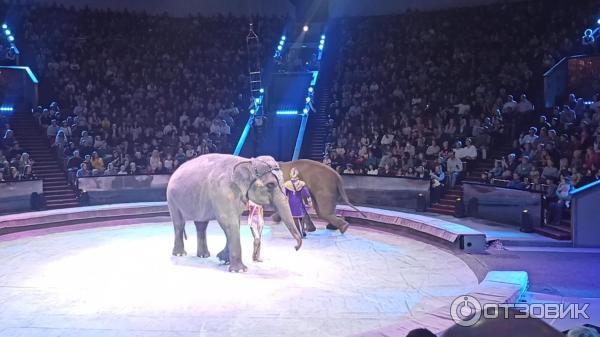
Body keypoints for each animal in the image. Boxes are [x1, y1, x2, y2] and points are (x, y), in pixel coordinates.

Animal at [166, 154, 302, 272]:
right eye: (270, 185)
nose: (295, 248)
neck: (247, 162)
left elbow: (235, 222)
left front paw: (223, 260)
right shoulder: (222, 191)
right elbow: (228, 222)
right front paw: (240, 270)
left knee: (201, 225)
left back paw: (204, 256)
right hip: (171, 198)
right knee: (179, 224)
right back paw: (180, 254)